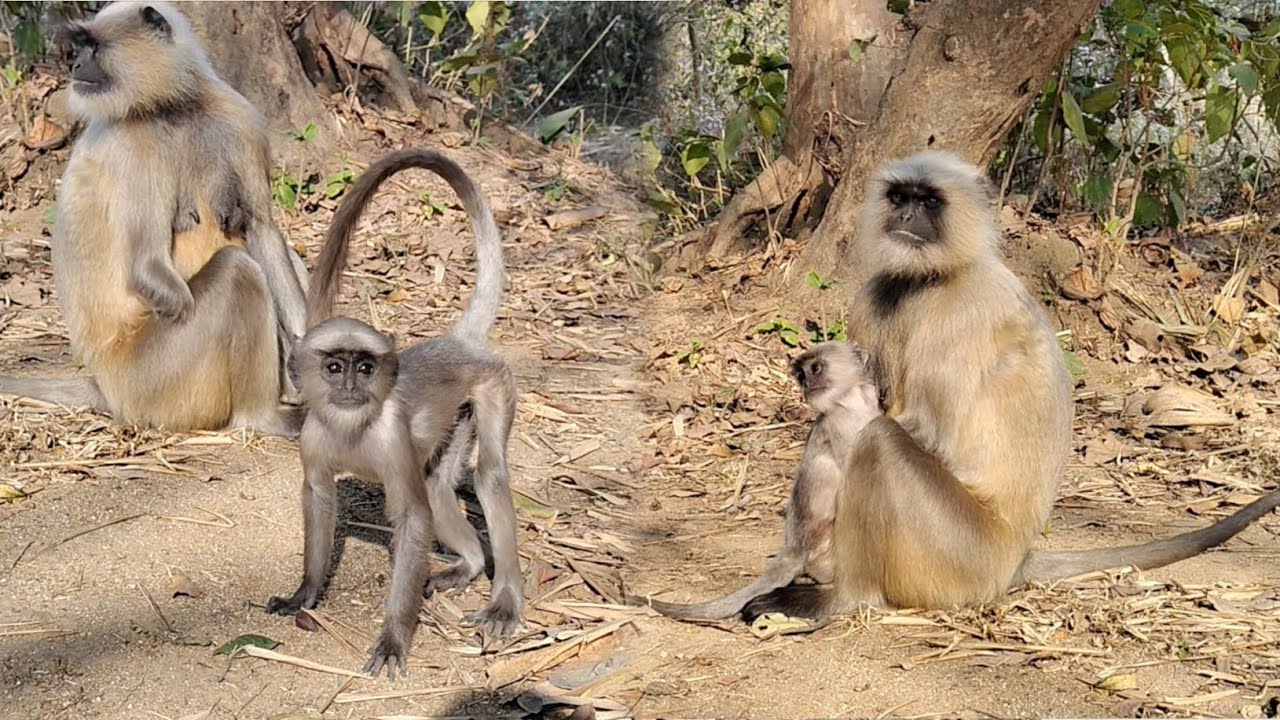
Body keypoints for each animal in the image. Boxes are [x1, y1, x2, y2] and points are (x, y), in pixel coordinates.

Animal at [0, 2, 308, 436]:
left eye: (92, 48)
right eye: (80, 47)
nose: (75, 64)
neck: (175, 108)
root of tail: (105, 386)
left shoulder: (242, 120)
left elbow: (262, 229)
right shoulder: (135, 145)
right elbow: (147, 267)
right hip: (151, 384)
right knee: (237, 271)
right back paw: (262, 416)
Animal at [267, 149, 522, 678]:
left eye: (365, 368)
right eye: (335, 367)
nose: (349, 386)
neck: (351, 428)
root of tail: (458, 341)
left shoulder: (390, 437)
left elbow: (411, 518)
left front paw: (393, 639)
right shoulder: (313, 436)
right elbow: (319, 498)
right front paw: (305, 593)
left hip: (492, 385)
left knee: (488, 475)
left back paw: (504, 600)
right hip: (458, 416)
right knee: (437, 483)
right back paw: (469, 565)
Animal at [634, 341, 881, 621]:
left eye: (814, 369)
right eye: (801, 375)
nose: (806, 384)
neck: (851, 401)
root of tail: (795, 549)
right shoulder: (842, 424)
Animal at [739, 151, 1280, 623]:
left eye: (929, 201)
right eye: (899, 197)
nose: (908, 213)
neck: (931, 278)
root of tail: (1015, 556)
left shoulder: (961, 313)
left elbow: (927, 433)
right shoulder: (875, 296)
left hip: (961, 556)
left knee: (879, 441)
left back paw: (842, 598)